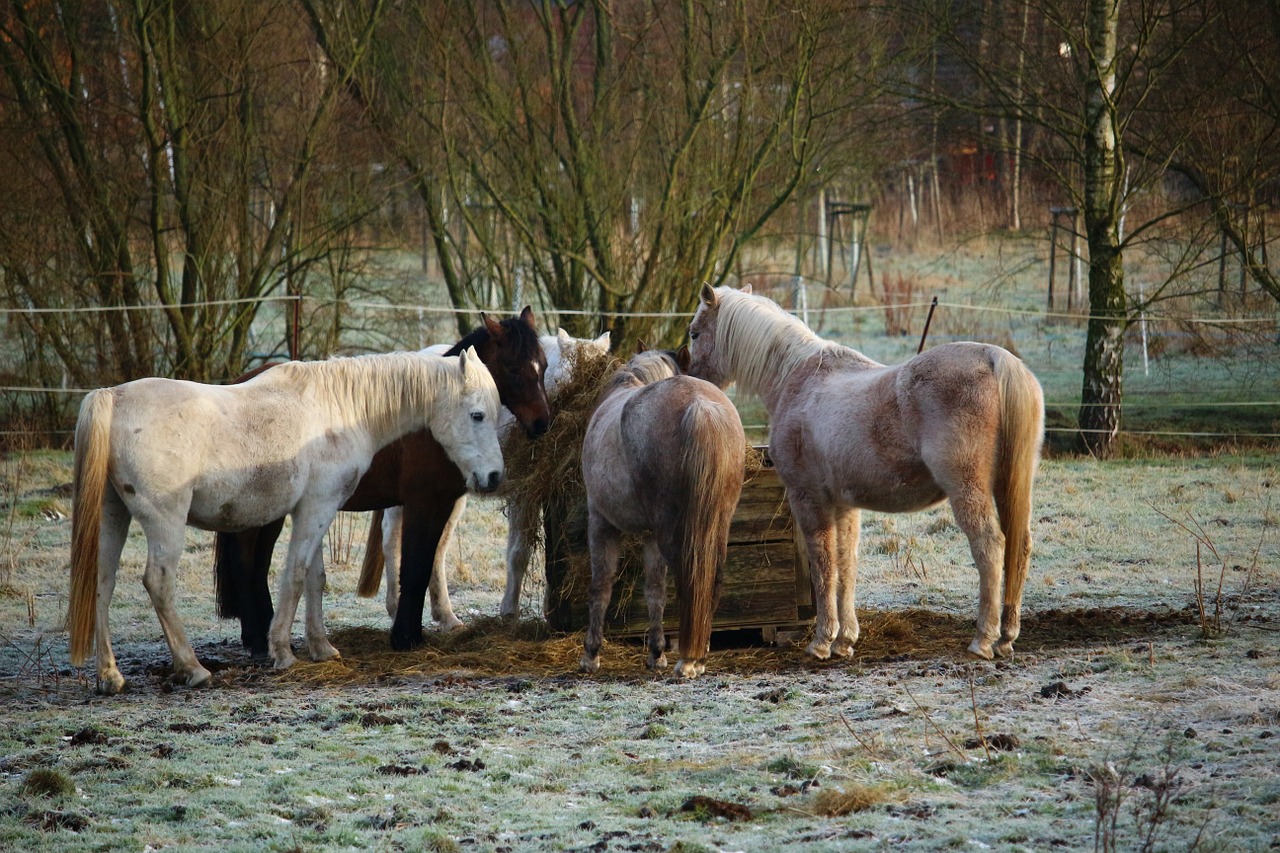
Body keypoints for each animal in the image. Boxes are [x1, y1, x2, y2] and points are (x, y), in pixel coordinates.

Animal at [67, 348, 501, 691]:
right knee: (158, 583)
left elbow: (314, 578)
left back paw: (110, 676)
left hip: (113, 517)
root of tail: (112, 397)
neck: (340, 409)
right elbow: (294, 575)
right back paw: (193, 669)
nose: (495, 476)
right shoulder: (316, 508)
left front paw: (321, 647)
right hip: (166, 524)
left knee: (101, 583)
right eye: (477, 415)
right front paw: (282, 651)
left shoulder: (317, 509)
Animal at [211, 308, 550, 653]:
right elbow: (413, 567)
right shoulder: (420, 503)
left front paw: (413, 632)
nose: (542, 423)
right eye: (514, 368)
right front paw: (405, 636)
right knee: (244, 563)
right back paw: (256, 638)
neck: (432, 422)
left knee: (259, 565)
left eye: (544, 364)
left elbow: (426, 563)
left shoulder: (442, 504)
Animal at [358, 325, 611, 625]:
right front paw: (510, 612)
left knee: (436, 550)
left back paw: (446, 617)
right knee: (392, 539)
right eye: (568, 378)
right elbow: (519, 552)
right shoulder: (522, 495)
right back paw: (397, 606)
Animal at [578, 343, 747, 676]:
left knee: (688, 579)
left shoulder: (601, 522)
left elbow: (600, 587)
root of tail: (699, 406)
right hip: (718, 524)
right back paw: (700, 655)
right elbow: (654, 591)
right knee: (712, 579)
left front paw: (592, 654)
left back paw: (688, 660)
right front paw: (656, 653)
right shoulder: (651, 535)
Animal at [686, 281, 1044, 660]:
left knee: (990, 547)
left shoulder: (807, 498)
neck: (796, 378)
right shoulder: (844, 505)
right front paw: (844, 640)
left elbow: (823, 563)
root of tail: (994, 357)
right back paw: (1006, 637)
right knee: (1019, 546)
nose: (693, 378)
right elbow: (846, 565)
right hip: (1013, 485)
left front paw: (821, 641)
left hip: (967, 488)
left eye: (695, 333)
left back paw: (983, 640)